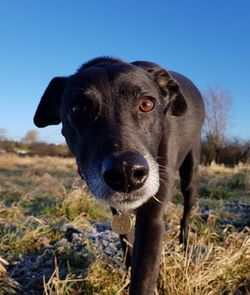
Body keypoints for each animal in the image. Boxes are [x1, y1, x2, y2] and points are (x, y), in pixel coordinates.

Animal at [33, 56, 205, 294]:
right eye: (78, 108)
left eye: (147, 104)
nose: (127, 174)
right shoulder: (117, 209)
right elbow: (127, 244)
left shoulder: (152, 220)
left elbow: (143, 279)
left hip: (191, 171)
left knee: (186, 212)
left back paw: (185, 245)